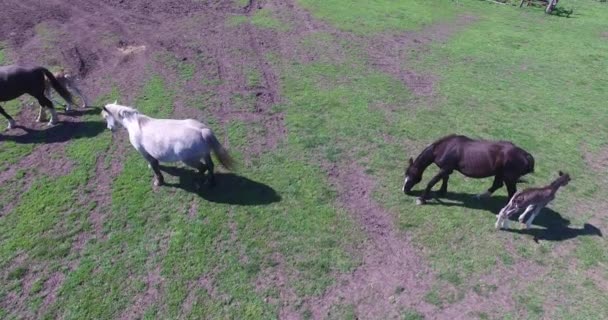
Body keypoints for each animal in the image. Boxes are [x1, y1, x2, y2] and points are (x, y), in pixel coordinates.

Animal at [101, 102, 234, 188]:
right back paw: (210, 182)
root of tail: (202, 131)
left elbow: (155, 167)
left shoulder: (144, 153)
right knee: (210, 166)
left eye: (106, 116)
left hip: (189, 160)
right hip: (205, 154)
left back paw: (197, 181)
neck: (135, 124)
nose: (109, 128)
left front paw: (159, 182)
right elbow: (154, 163)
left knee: (203, 168)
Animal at [402, 134, 536, 205]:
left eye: (410, 174)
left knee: (511, 192)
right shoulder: (447, 169)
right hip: (500, 173)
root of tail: (525, 154)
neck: (446, 147)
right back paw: (480, 196)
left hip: (509, 178)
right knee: (497, 185)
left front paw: (421, 199)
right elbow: (445, 179)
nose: (404, 190)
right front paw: (442, 191)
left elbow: (432, 182)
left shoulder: (445, 168)